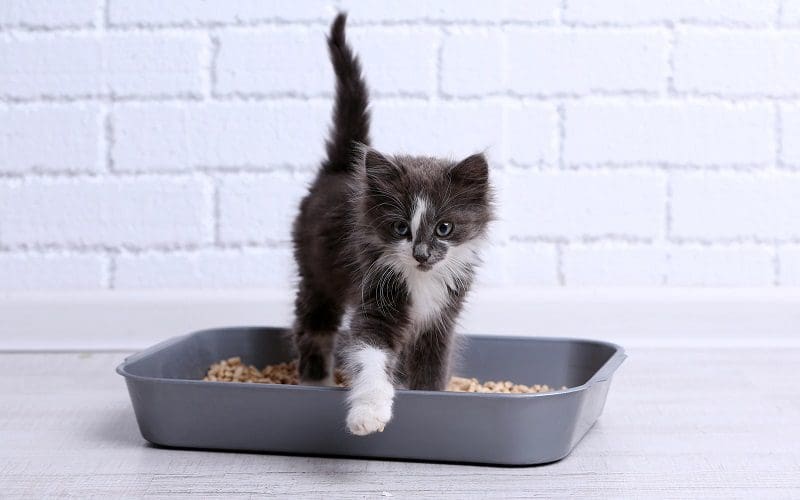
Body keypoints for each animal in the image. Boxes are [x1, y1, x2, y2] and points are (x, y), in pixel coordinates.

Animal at [294, 13, 494, 436]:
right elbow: (369, 356)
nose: (421, 253)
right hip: (316, 273)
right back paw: (315, 380)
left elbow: (432, 369)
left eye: (444, 229)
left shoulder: (441, 320)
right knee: (312, 327)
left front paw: (432, 400)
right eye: (400, 228)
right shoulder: (375, 298)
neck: (421, 281)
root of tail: (340, 168)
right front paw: (368, 413)